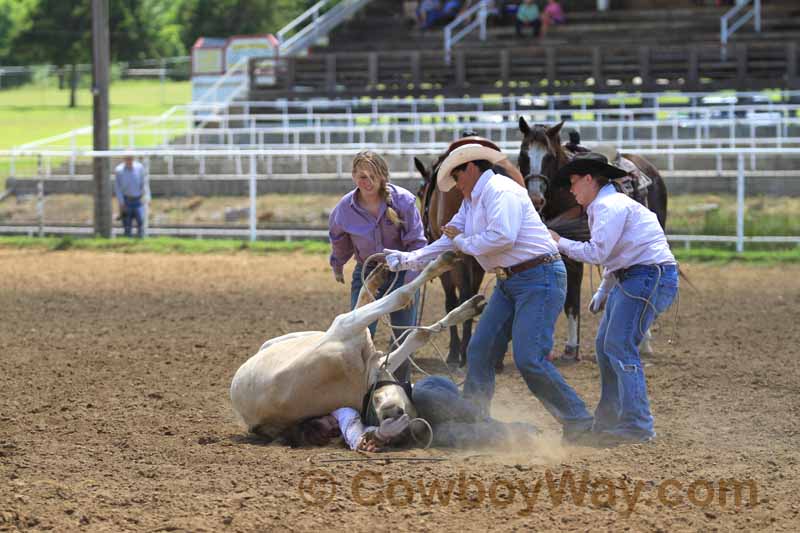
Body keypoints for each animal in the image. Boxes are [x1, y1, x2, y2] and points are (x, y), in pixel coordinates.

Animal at [228, 251, 484, 438]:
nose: (393, 413)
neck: (360, 379)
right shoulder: (347, 330)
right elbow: (402, 299)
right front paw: (443, 263)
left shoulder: (368, 352)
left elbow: (417, 332)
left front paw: (466, 308)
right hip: (330, 329)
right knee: (369, 303)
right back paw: (379, 274)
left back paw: (378, 276)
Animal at [412, 135, 524, 366]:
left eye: (420, 192)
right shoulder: (477, 265)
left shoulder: (451, 264)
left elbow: (452, 301)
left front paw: (455, 351)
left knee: (461, 297)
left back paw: (463, 352)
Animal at [520, 116, 668, 358]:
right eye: (524, 154)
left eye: (549, 156)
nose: (535, 198)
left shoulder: (575, 253)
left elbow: (571, 300)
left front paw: (572, 347)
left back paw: (644, 341)